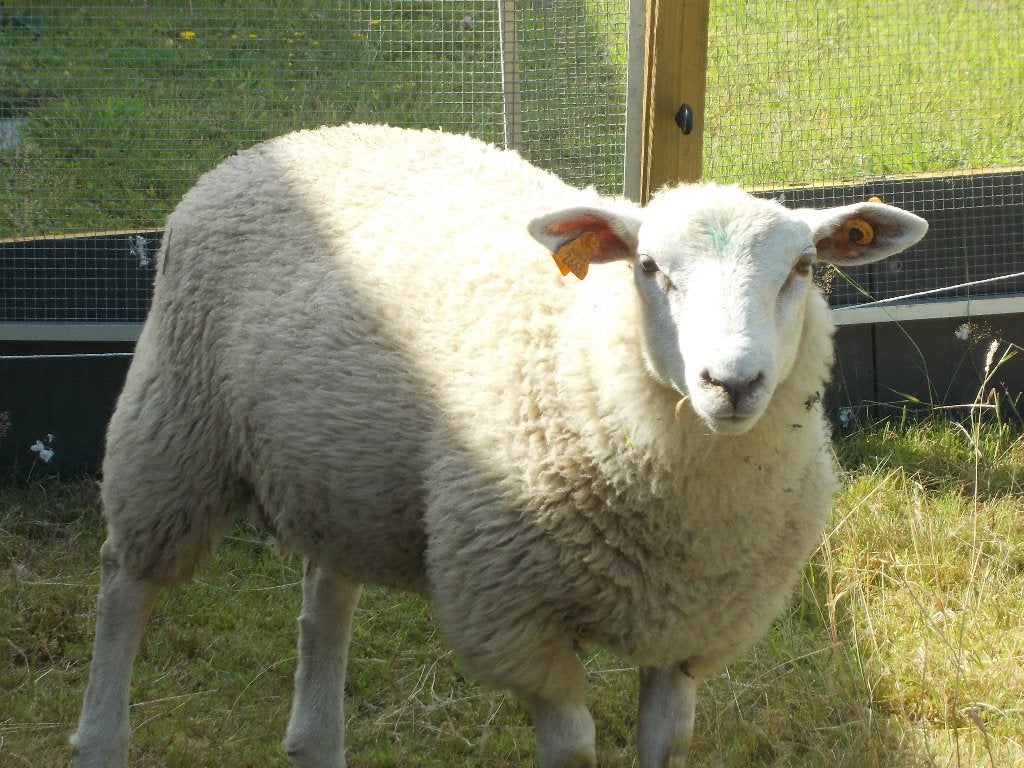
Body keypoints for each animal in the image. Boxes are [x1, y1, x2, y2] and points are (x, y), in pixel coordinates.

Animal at [71, 123, 927, 768]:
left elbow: (668, 745)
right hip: (172, 430)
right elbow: (575, 748)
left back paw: (315, 742)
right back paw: (100, 740)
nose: (733, 382)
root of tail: (278, 142)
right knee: (125, 581)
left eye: (804, 267)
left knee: (324, 605)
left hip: (341, 473)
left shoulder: (693, 630)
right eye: (650, 268)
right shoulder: (517, 622)